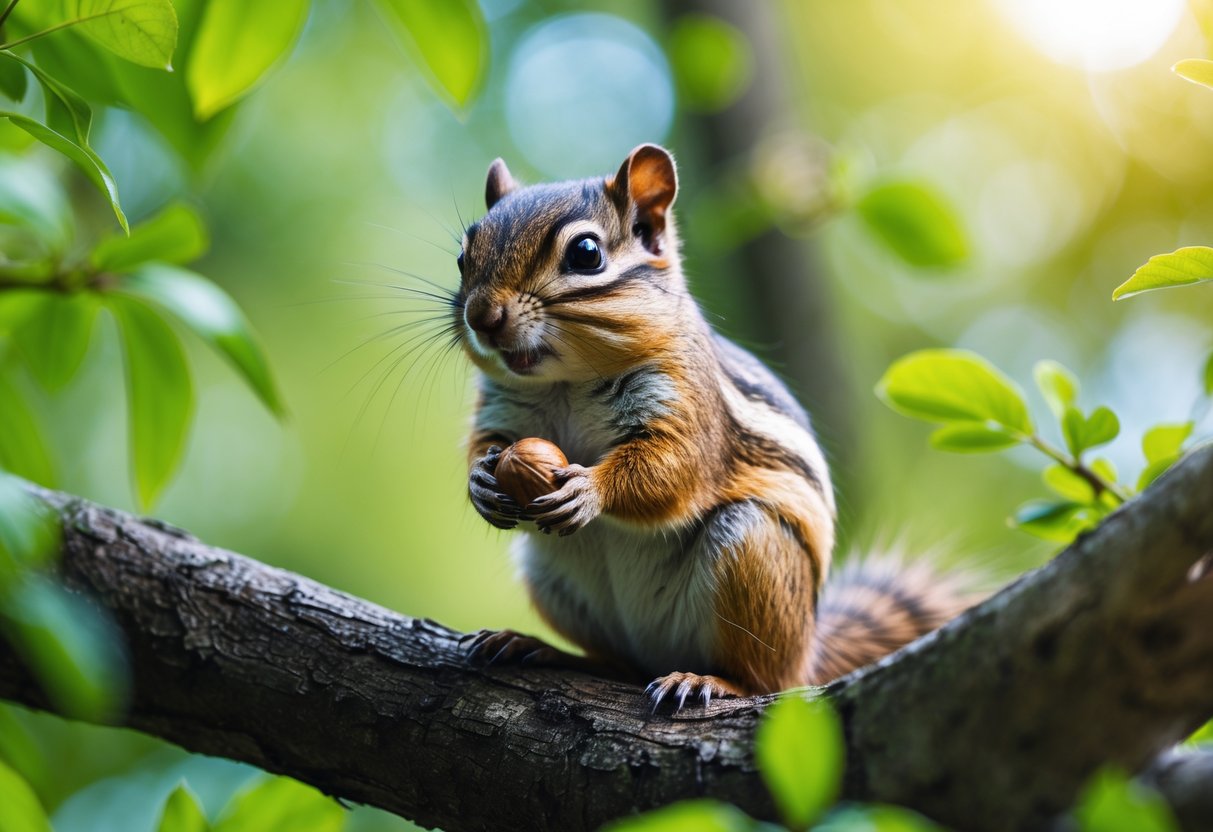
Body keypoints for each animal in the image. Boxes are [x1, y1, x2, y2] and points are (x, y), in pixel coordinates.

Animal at [456, 144, 970, 710]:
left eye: (586, 253)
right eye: (463, 256)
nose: (482, 317)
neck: (564, 383)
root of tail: (808, 651)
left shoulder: (688, 403)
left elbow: (671, 469)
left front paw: (591, 489)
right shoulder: (501, 410)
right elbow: (486, 446)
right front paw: (480, 482)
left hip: (752, 552)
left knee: (764, 678)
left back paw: (708, 680)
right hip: (551, 576)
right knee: (615, 662)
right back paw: (542, 648)